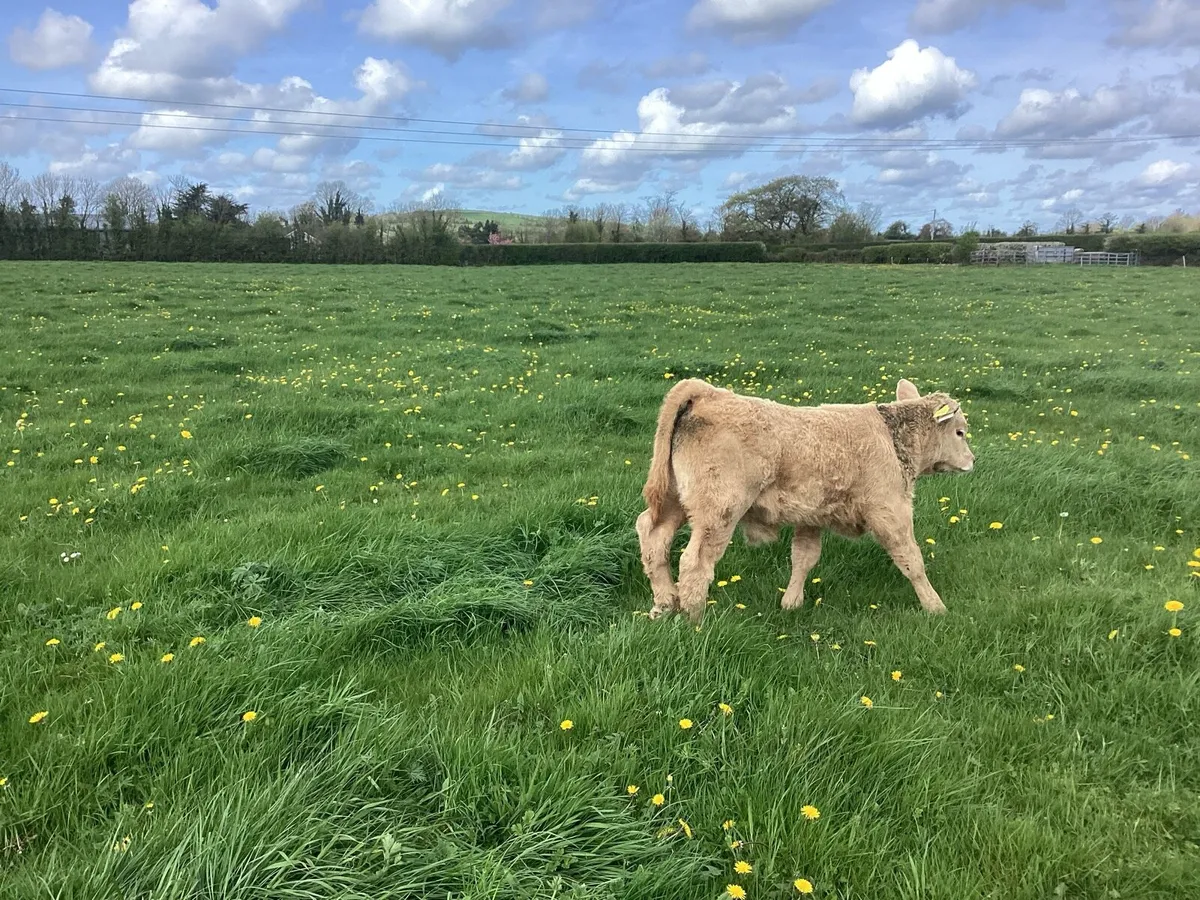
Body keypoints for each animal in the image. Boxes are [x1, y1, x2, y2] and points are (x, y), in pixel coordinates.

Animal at [635, 377, 975, 624]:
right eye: (960, 432)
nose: (972, 460)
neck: (892, 437)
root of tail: (708, 393)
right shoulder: (890, 509)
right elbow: (911, 560)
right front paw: (935, 606)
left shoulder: (812, 516)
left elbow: (803, 558)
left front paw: (791, 602)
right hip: (719, 510)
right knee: (695, 561)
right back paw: (694, 619)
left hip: (674, 501)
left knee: (653, 537)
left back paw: (664, 604)